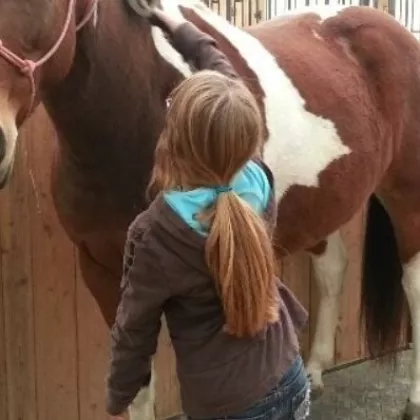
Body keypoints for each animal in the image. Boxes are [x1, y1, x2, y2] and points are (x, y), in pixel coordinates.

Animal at [0, 0, 420, 418]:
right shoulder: (102, 270)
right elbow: (137, 384)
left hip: (406, 198)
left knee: (412, 285)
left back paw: (413, 398)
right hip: (323, 198)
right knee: (332, 268)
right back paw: (315, 371)